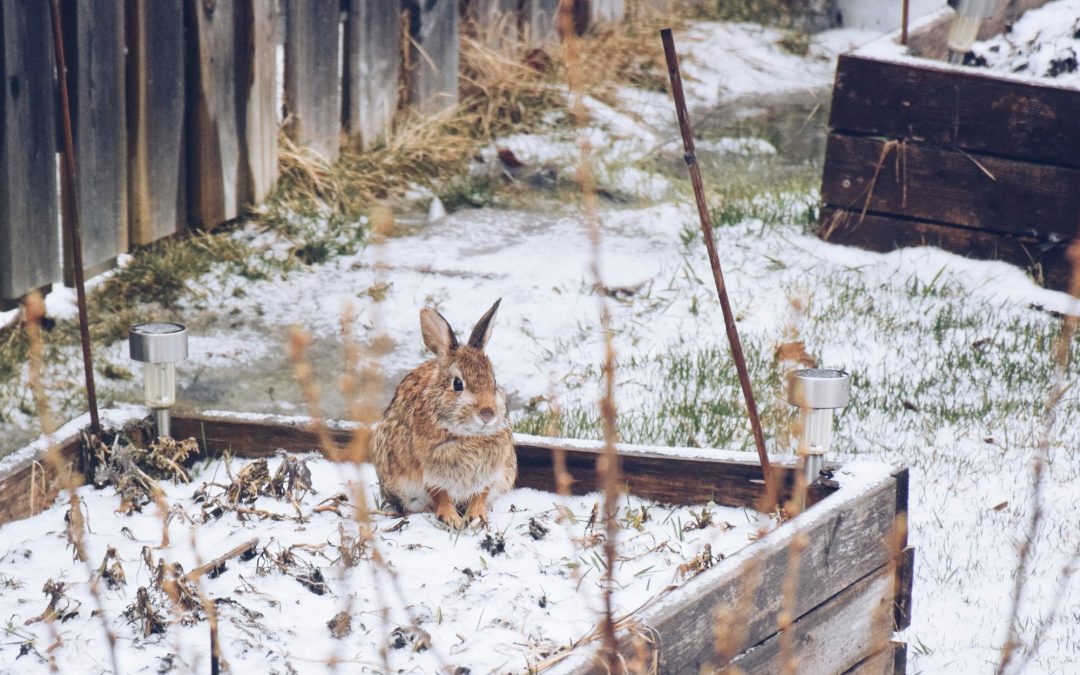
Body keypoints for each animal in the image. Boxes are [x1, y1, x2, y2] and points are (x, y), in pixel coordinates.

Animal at [373, 298, 516, 527]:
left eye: (494, 383)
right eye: (458, 384)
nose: (487, 414)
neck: (468, 435)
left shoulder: (491, 473)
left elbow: (480, 494)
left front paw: (477, 517)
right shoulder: (429, 473)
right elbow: (440, 494)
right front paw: (451, 519)